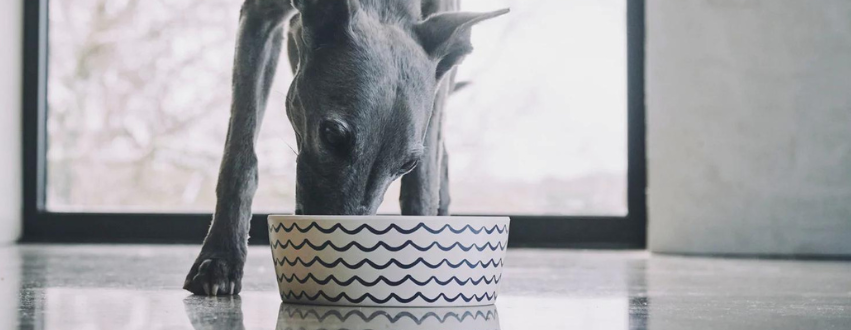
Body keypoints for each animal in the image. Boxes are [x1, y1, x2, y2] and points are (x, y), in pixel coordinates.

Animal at [184, 0, 510, 296]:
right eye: (331, 134)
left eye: (407, 165)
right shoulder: (259, 18)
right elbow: (240, 156)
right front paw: (220, 259)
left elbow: (423, 184)